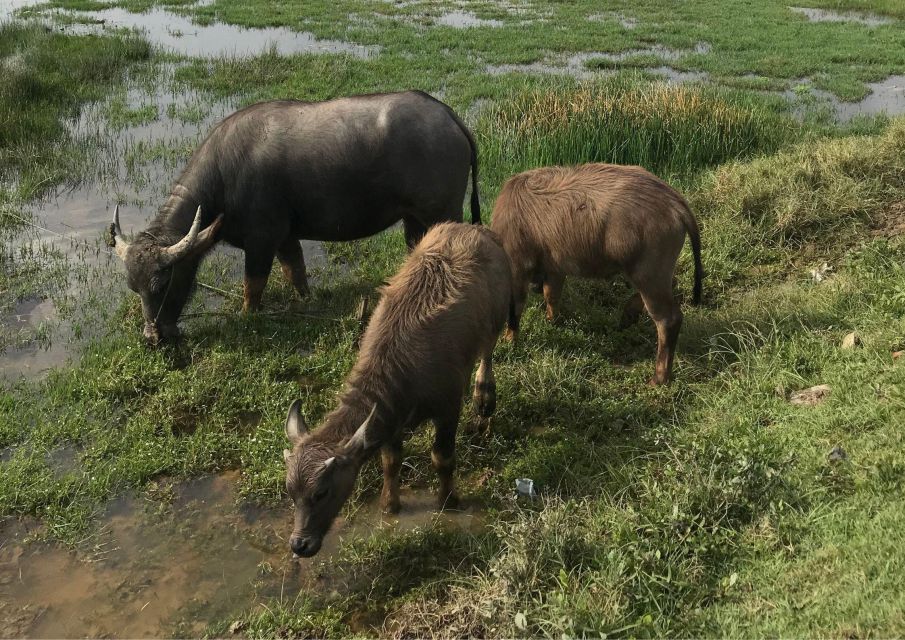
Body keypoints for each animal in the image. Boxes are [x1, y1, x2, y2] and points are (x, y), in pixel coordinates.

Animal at [107, 90, 480, 344]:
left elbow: (253, 284)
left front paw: (248, 316)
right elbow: (295, 271)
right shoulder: (286, 237)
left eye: (161, 284)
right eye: (133, 286)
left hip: (443, 212)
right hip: (414, 218)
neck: (224, 178)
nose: (153, 338)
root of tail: (448, 115)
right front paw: (305, 301)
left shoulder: (262, 240)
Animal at [282, 221, 512, 556]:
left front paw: (448, 500)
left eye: (322, 492)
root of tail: (472, 228)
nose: (300, 544)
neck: (400, 368)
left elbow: (442, 457)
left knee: (487, 351)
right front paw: (389, 505)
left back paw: (484, 395)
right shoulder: (389, 418)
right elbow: (390, 462)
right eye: (290, 491)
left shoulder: (448, 408)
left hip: (496, 319)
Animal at [490, 164, 704, 384]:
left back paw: (658, 378)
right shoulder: (555, 268)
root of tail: (675, 201)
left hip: (649, 275)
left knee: (668, 319)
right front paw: (552, 321)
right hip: (655, 273)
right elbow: (552, 296)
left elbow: (515, 309)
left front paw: (509, 341)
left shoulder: (518, 268)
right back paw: (628, 316)